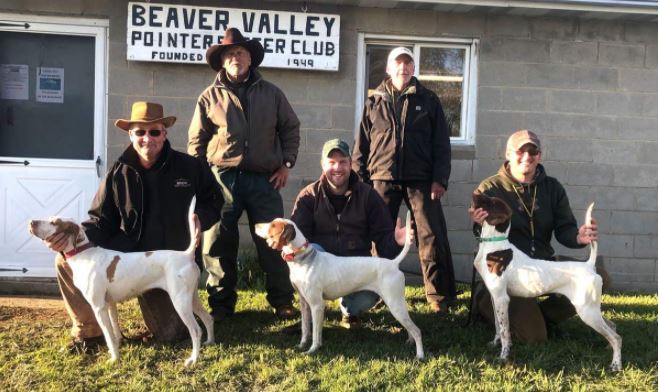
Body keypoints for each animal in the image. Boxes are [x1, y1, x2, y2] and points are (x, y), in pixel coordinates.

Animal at [28, 198, 214, 366]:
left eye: (54, 222)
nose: (31, 222)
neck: (84, 254)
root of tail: (186, 254)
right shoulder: (110, 305)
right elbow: (115, 331)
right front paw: (118, 348)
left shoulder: (99, 308)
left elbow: (108, 336)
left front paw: (114, 359)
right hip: (191, 298)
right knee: (208, 318)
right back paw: (210, 342)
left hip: (180, 302)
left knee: (196, 330)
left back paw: (193, 359)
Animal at [255, 213, 426, 360]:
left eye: (273, 225)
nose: (256, 225)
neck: (304, 259)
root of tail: (393, 263)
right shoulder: (304, 304)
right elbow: (306, 329)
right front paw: (302, 345)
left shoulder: (317, 305)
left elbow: (315, 333)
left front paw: (312, 350)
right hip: (398, 305)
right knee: (410, 327)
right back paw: (409, 342)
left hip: (394, 304)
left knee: (417, 330)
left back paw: (420, 355)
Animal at [472, 194, 620, 372]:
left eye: (490, 201)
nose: (475, 193)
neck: (494, 244)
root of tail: (589, 265)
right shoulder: (495, 297)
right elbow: (497, 326)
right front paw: (495, 343)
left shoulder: (502, 298)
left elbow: (505, 331)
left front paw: (504, 356)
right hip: (591, 309)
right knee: (612, 327)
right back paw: (608, 349)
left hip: (587, 311)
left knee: (616, 337)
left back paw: (616, 365)